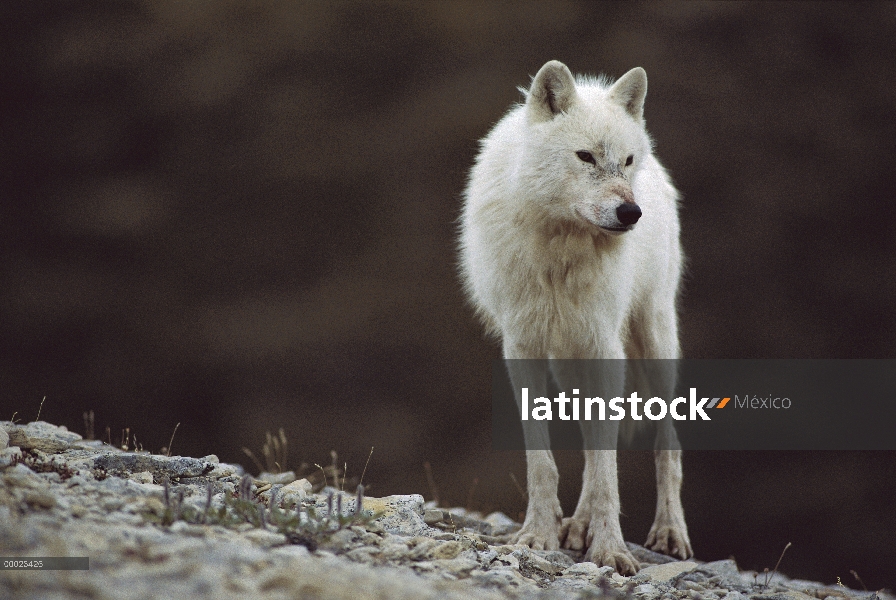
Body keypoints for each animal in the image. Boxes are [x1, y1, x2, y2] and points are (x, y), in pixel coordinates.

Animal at [458, 62, 688, 576]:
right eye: (585, 156)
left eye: (626, 161)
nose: (631, 212)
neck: (560, 247)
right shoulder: (522, 346)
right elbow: (543, 461)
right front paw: (537, 535)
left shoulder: (604, 347)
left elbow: (606, 470)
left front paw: (611, 551)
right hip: (570, 363)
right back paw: (576, 526)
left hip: (653, 341)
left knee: (667, 443)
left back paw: (669, 532)